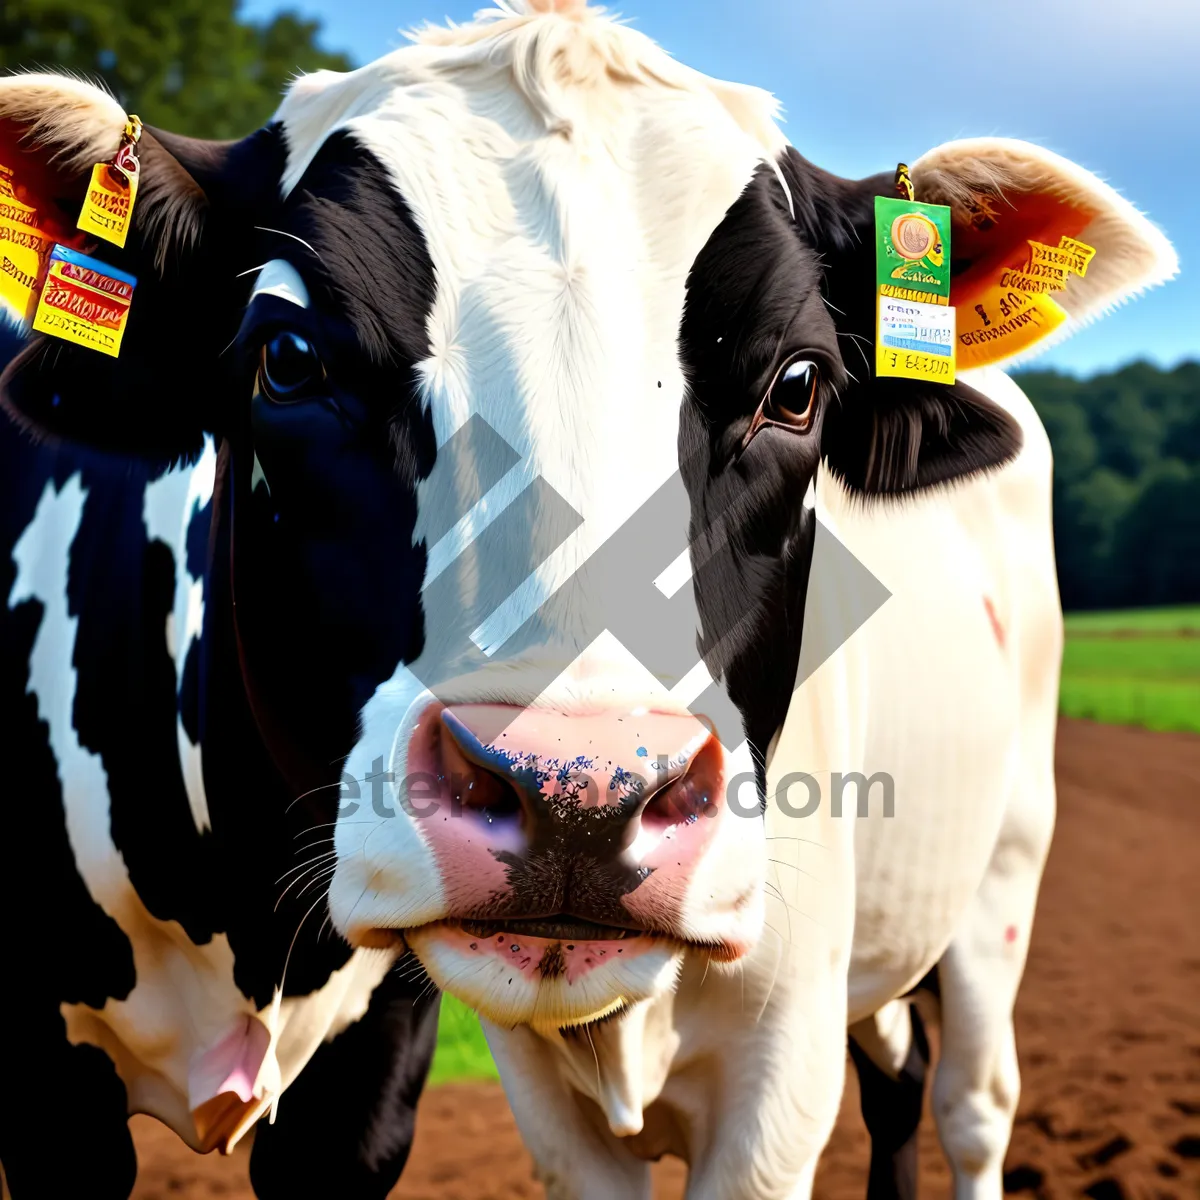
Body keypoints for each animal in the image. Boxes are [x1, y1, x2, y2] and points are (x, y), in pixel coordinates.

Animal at [0, 2, 1176, 1200]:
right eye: (287, 360)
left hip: (1005, 863)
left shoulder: (769, 1053)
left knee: (972, 1102)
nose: (580, 792)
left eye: (798, 386)